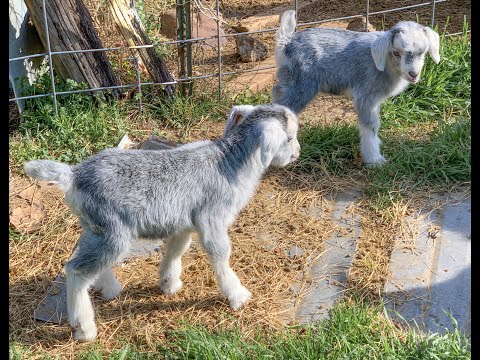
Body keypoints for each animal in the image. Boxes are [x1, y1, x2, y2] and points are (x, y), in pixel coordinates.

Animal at [24, 103, 300, 340]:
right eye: (288, 138)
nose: (297, 153)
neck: (231, 163)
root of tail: (73, 175)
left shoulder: (184, 223)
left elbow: (176, 250)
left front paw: (169, 284)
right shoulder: (212, 218)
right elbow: (221, 254)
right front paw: (238, 295)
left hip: (96, 228)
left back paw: (110, 288)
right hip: (112, 230)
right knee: (76, 270)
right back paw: (84, 328)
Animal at [272, 9, 440, 165]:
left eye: (423, 52)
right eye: (396, 53)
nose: (413, 74)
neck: (386, 63)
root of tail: (285, 42)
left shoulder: (374, 101)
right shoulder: (365, 96)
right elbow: (370, 125)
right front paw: (374, 159)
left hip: (289, 79)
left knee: (276, 93)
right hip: (302, 86)